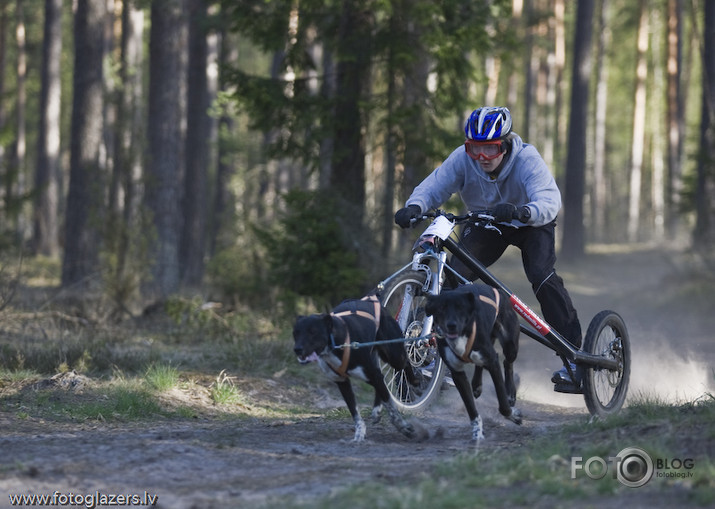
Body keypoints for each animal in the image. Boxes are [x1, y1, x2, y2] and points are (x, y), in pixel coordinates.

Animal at [292, 296, 422, 442]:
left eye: (313, 332)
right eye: (295, 333)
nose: (297, 349)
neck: (337, 342)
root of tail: (373, 299)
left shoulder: (371, 373)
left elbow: (392, 409)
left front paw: (403, 427)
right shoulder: (343, 383)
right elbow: (354, 412)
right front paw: (359, 433)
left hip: (394, 355)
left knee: (405, 364)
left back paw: (415, 383)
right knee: (381, 380)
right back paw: (376, 410)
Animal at [426, 284, 520, 438]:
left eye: (460, 307)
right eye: (441, 308)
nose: (451, 325)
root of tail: (498, 290)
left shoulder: (493, 362)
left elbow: (503, 404)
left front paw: (513, 414)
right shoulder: (457, 374)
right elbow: (470, 407)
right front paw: (477, 432)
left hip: (510, 344)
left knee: (508, 363)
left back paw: (510, 393)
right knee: (481, 365)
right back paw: (477, 385)